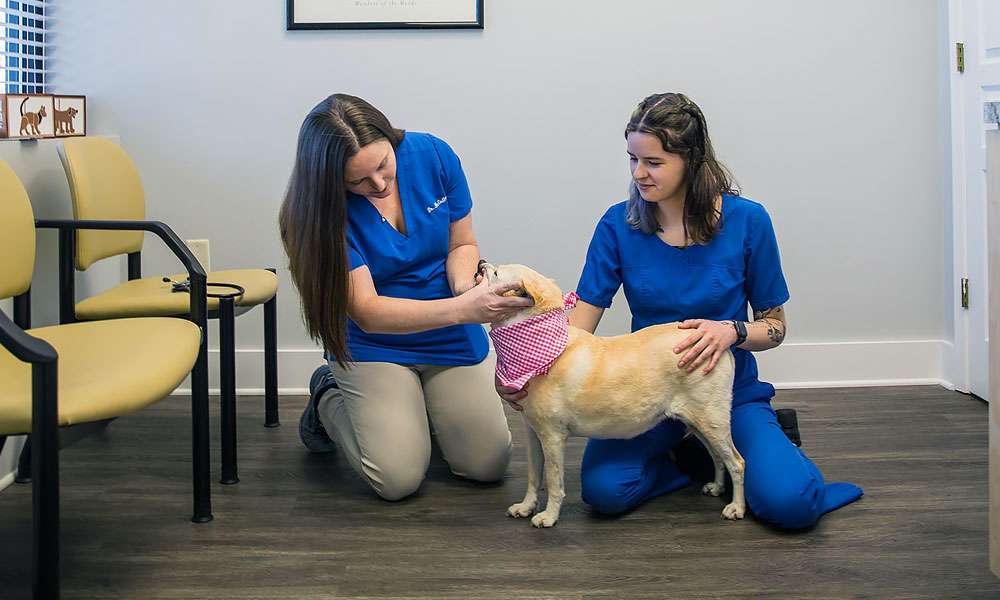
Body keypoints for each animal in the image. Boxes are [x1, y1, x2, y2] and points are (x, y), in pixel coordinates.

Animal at [484, 264, 744, 528]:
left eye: (495, 274)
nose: (481, 264)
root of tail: (723, 348)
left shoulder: (552, 437)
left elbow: (553, 481)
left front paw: (549, 516)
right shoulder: (533, 433)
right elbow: (534, 476)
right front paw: (526, 506)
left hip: (711, 420)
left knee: (737, 462)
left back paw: (736, 507)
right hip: (698, 422)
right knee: (717, 455)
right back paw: (717, 487)